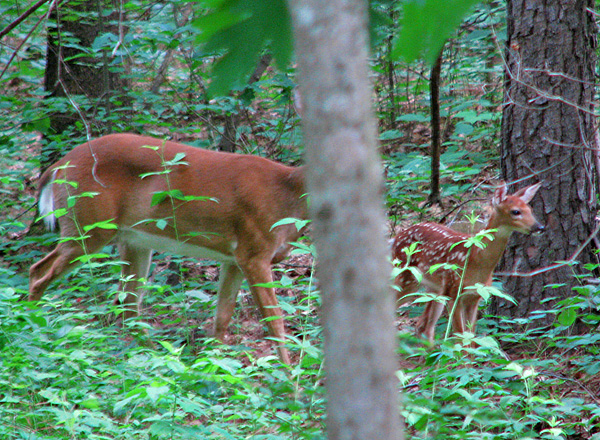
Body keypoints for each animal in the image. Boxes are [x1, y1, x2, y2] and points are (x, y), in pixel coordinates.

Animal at [29, 133, 308, 360]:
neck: (288, 195)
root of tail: (58, 166)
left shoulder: (233, 258)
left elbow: (223, 316)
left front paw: (215, 365)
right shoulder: (254, 250)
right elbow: (275, 321)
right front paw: (291, 383)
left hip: (133, 240)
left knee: (129, 303)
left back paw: (154, 354)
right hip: (89, 225)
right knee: (38, 271)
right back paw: (32, 329)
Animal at [394, 182, 544, 344]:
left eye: (530, 209)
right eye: (515, 211)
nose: (540, 227)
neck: (476, 261)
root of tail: (396, 237)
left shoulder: (474, 297)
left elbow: (471, 340)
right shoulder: (454, 293)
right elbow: (461, 339)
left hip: (435, 289)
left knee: (423, 327)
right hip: (407, 278)